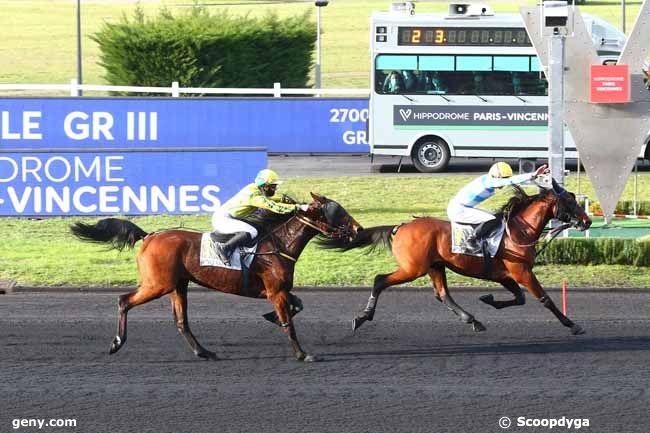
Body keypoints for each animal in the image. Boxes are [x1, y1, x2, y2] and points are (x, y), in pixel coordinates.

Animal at [74, 193, 364, 362]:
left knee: (182, 321)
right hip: (158, 284)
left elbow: (297, 306)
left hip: (178, 285)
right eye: (337, 211)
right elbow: (289, 324)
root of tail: (149, 236)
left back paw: (204, 352)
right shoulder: (275, 291)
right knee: (124, 300)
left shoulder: (279, 290)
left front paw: (271, 317)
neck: (277, 243)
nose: (358, 229)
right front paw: (303, 354)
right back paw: (116, 343)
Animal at [322, 179, 588, 334]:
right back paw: (362, 317)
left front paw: (489, 299)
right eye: (569, 201)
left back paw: (473, 320)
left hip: (435, 266)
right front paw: (572, 325)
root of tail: (400, 227)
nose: (586, 221)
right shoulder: (520, 271)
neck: (518, 231)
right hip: (413, 268)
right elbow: (544, 298)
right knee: (380, 280)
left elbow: (519, 298)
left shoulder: (505, 274)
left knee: (443, 295)